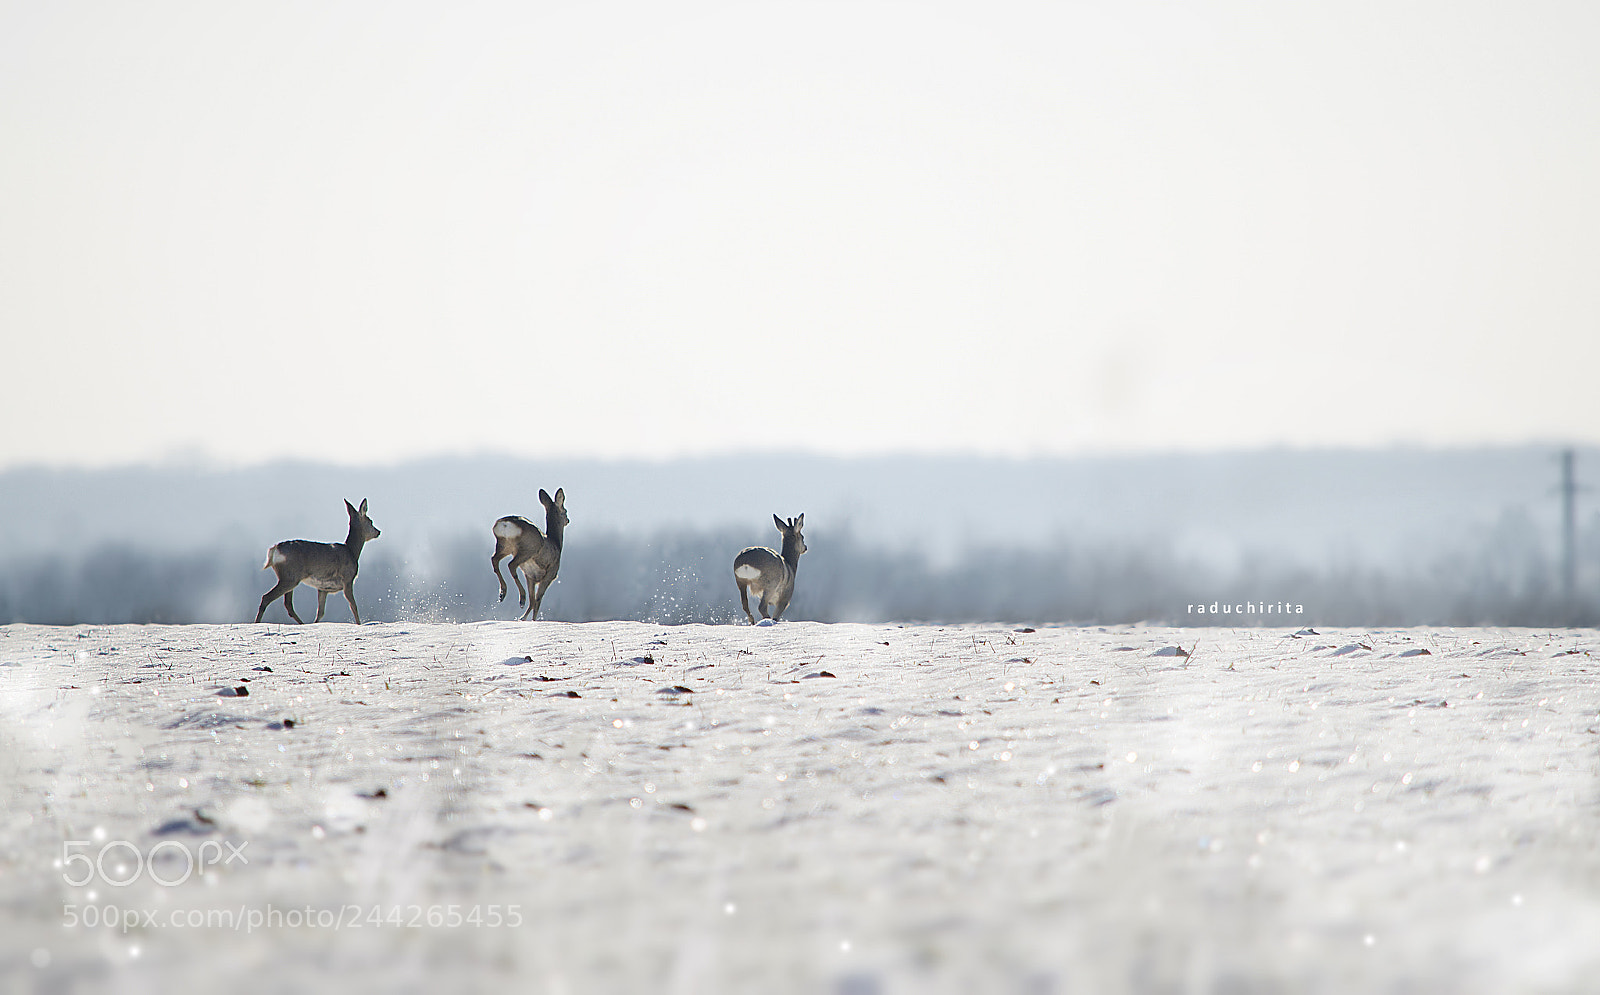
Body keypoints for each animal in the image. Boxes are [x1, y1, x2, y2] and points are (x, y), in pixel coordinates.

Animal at [491, 487, 568, 621]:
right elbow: (537, 600)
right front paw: (530, 620)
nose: (568, 520)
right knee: (511, 565)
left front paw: (522, 619)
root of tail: (505, 523)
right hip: (527, 549)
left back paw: (502, 593)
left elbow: (533, 601)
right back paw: (521, 598)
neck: (556, 543)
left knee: (494, 560)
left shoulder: (530, 576)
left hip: (504, 545)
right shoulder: (550, 574)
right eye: (565, 511)